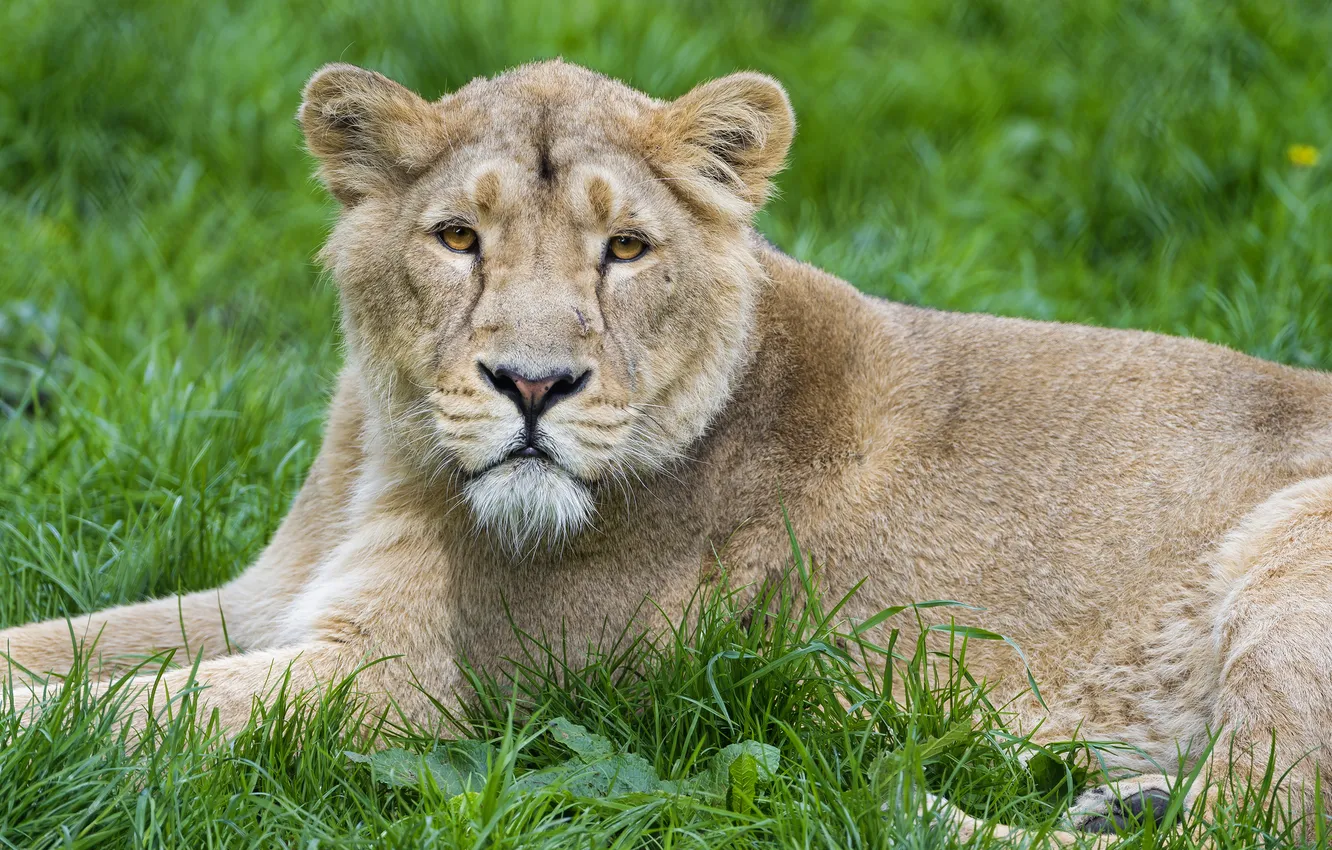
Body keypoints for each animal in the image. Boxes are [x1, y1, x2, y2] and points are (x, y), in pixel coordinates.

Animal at [5, 59, 1332, 837]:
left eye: (627, 250)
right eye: (457, 236)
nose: (533, 383)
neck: (397, 459)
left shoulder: (407, 685)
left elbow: (120, 710)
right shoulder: (262, 600)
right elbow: (61, 650)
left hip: (1294, 543)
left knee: (1260, 814)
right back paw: (1118, 796)